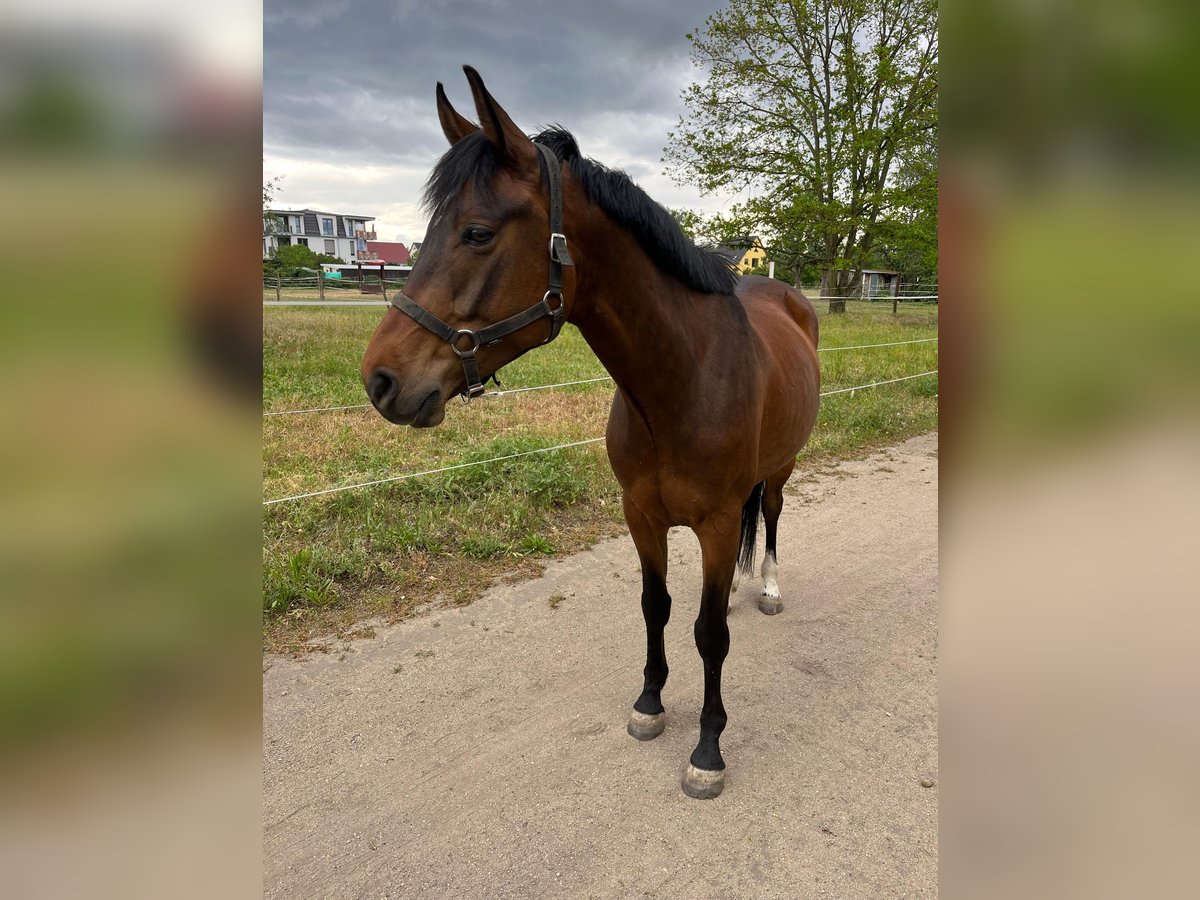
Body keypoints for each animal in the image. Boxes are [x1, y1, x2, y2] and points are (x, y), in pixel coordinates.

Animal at [361, 67, 820, 799]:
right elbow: (656, 606)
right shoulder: (640, 514)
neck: (680, 381)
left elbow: (710, 632)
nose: (379, 380)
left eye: (477, 233)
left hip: (780, 468)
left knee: (772, 515)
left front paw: (708, 749)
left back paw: (772, 588)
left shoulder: (719, 524)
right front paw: (650, 704)